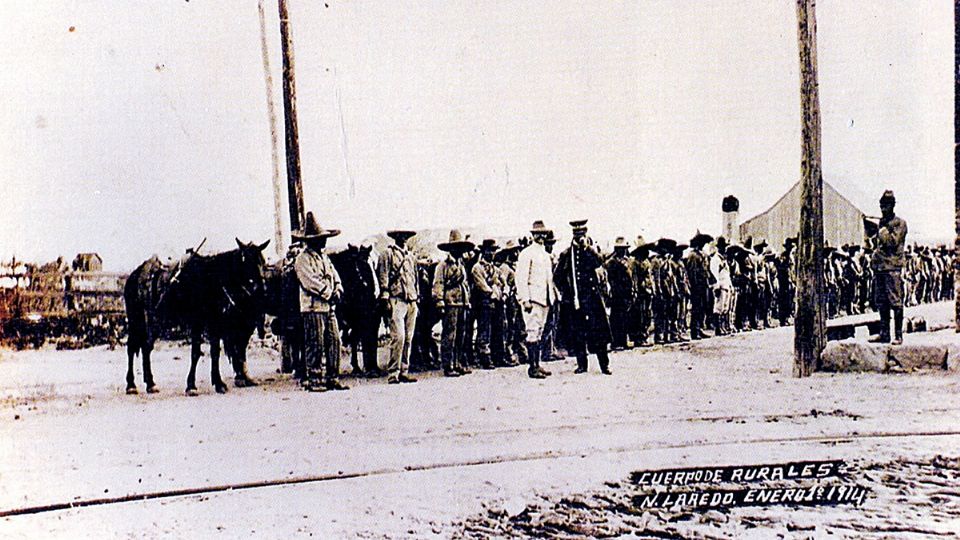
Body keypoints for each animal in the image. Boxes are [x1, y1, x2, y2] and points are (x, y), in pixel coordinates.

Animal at [124, 240, 268, 396]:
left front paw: (218, 383)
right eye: (246, 260)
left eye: (262, 261)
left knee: (146, 347)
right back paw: (131, 385)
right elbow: (196, 353)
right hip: (138, 321)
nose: (262, 288)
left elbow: (215, 352)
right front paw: (191, 386)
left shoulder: (215, 325)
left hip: (152, 323)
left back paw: (150, 384)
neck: (212, 280)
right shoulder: (197, 324)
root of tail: (134, 275)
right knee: (132, 347)